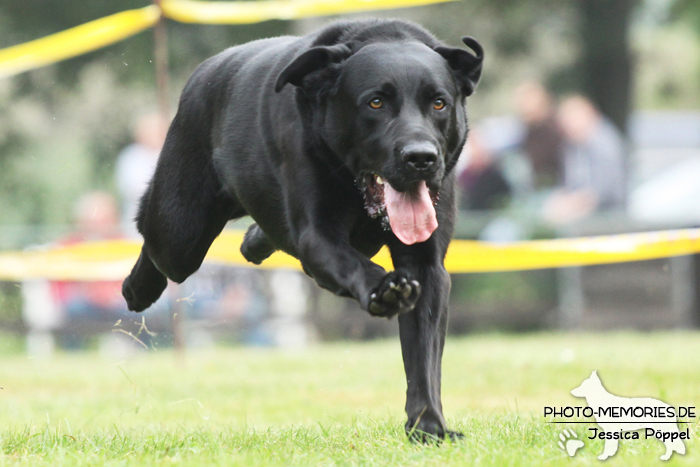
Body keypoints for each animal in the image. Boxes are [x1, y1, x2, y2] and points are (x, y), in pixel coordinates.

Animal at [123, 19, 482, 442]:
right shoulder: (318, 236)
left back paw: (252, 243)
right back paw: (136, 289)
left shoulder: (426, 264)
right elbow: (352, 263)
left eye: (439, 103)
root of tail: (204, 72)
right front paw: (385, 288)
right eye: (375, 102)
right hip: (180, 231)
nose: (421, 158)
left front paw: (429, 427)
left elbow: (423, 355)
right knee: (153, 237)